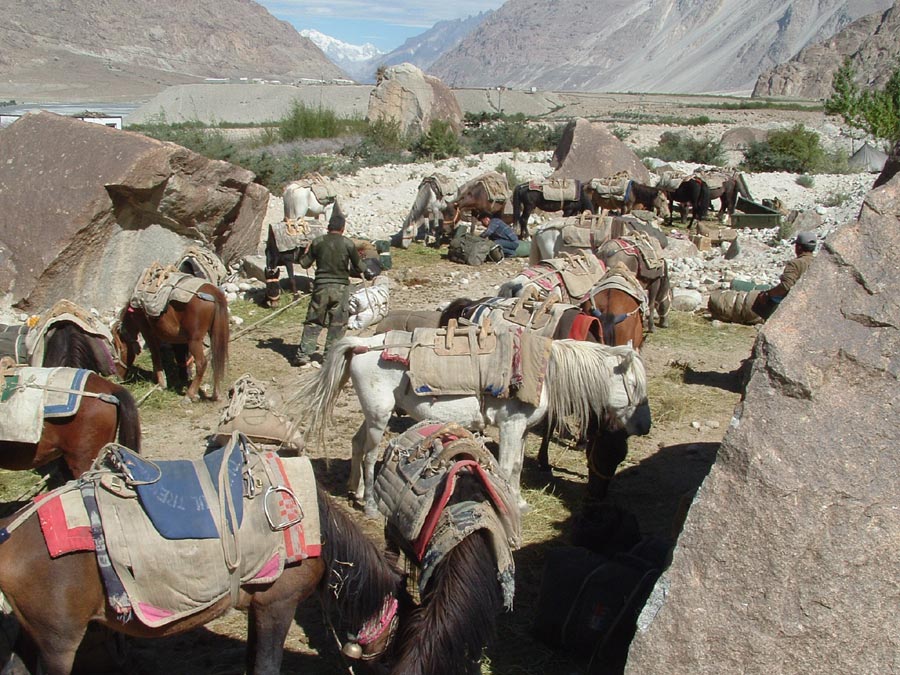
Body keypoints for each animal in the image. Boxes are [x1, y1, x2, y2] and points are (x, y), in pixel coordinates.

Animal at [0, 486, 404, 675]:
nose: (385, 662)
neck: (315, 530)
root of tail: (11, 532)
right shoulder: (277, 606)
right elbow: (267, 665)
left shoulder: (259, 607)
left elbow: (252, 659)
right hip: (58, 644)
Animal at [292, 334, 652, 516]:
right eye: (634, 385)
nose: (645, 427)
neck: (540, 372)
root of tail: (362, 344)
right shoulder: (510, 427)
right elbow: (506, 468)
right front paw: (509, 504)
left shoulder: (521, 430)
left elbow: (517, 467)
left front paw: (520, 502)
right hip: (380, 417)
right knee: (369, 455)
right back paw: (368, 504)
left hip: (373, 415)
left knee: (356, 444)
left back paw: (354, 490)